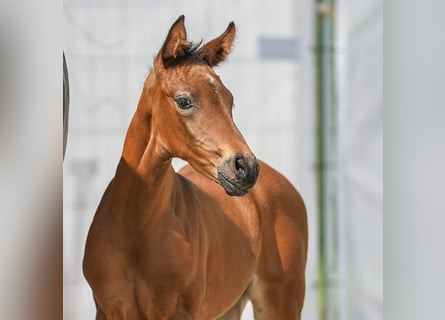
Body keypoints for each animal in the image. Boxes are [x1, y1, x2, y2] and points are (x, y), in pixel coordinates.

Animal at [82, 15, 306, 320]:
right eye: (184, 100)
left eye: (230, 100)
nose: (246, 168)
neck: (136, 229)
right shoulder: (108, 310)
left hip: (280, 300)